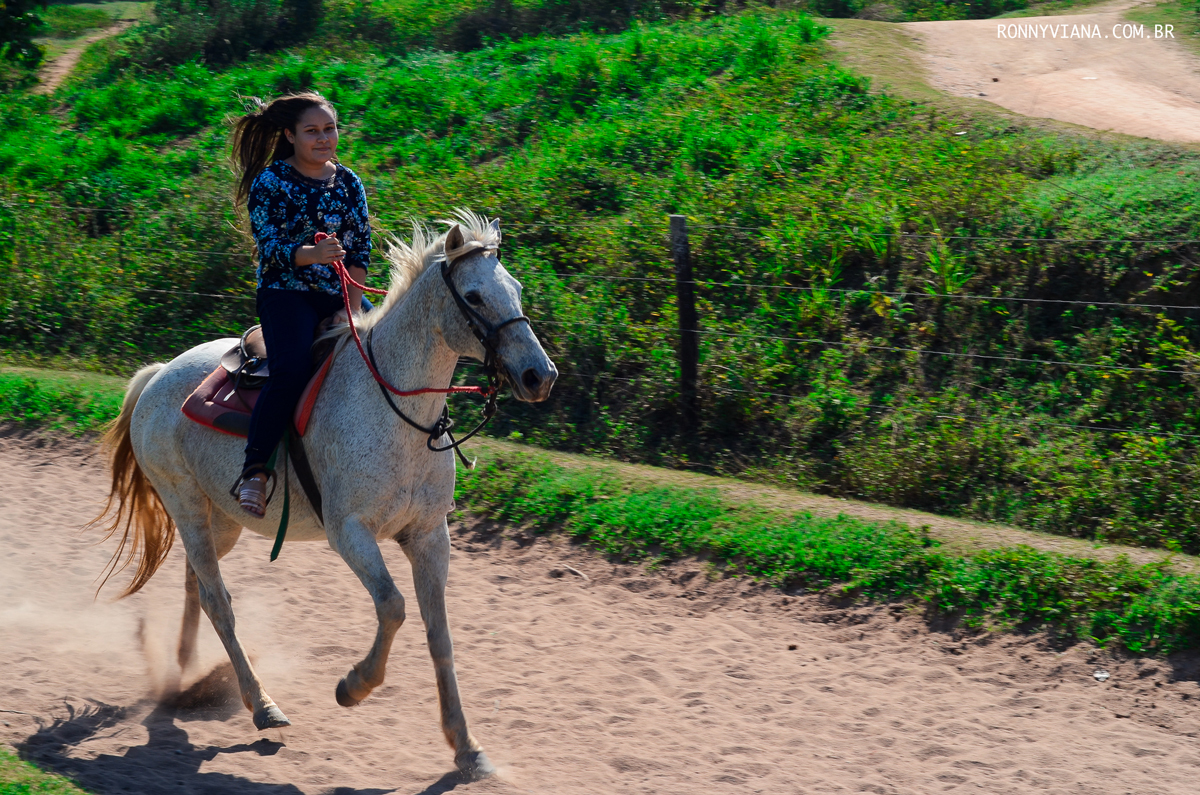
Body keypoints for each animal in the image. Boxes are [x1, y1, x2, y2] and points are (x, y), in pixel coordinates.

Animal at [91, 211, 557, 780]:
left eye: (515, 289)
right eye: (473, 296)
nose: (540, 375)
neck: (396, 410)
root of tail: (158, 375)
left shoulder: (429, 535)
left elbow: (439, 634)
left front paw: (467, 748)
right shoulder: (350, 532)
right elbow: (393, 606)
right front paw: (353, 687)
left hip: (221, 519)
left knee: (197, 585)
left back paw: (186, 676)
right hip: (185, 505)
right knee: (219, 601)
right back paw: (262, 705)